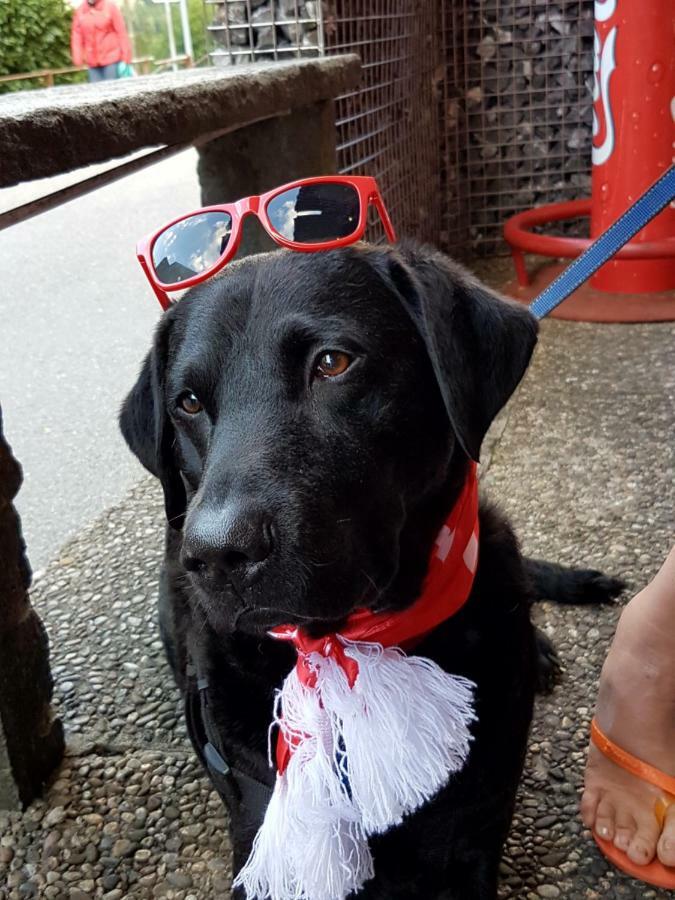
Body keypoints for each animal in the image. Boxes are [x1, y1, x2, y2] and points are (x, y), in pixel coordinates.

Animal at [120, 243, 616, 900]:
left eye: (332, 362)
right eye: (190, 403)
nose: (217, 555)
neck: (351, 645)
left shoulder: (472, 837)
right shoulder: (268, 850)